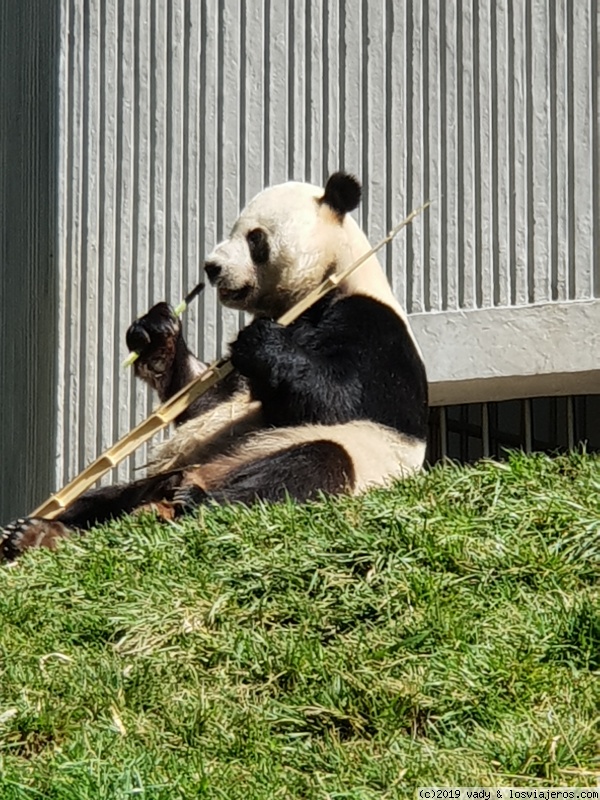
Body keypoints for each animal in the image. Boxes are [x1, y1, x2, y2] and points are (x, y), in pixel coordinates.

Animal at [0, 172, 428, 561]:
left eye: (255, 238)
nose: (211, 267)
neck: (324, 284)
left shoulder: (371, 325)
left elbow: (340, 399)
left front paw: (261, 342)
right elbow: (208, 402)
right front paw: (157, 333)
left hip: (338, 457)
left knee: (307, 467)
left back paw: (189, 503)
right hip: (179, 468)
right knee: (105, 498)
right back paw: (39, 532)